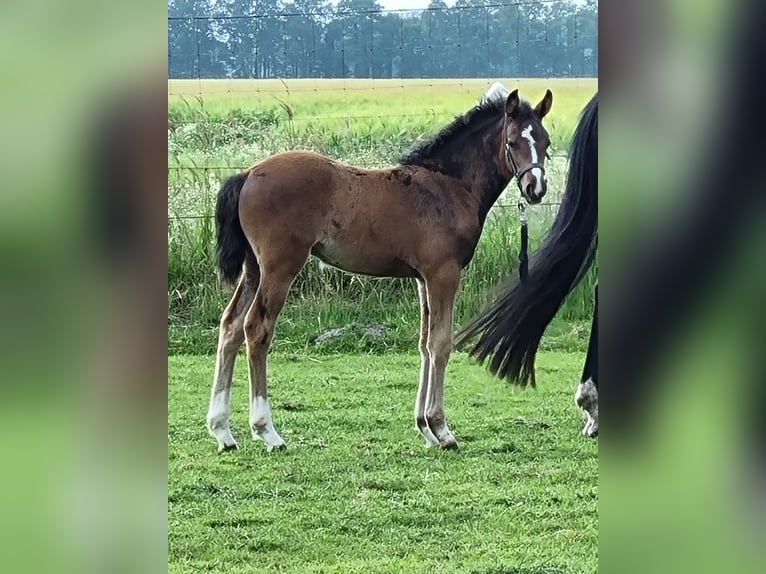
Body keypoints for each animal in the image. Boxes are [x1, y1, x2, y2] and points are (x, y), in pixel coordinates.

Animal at [207, 85, 556, 454]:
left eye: (545, 141)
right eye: (513, 141)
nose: (536, 189)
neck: (449, 186)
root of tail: (247, 174)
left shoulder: (423, 278)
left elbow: (424, 343)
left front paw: (424, 428)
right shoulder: (444, 273)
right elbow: (441, 343)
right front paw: (441, 429)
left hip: (253, 268)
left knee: (230, 326)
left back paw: (222, 431)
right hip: (279, 266)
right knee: (257, 328)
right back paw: (267, 431)